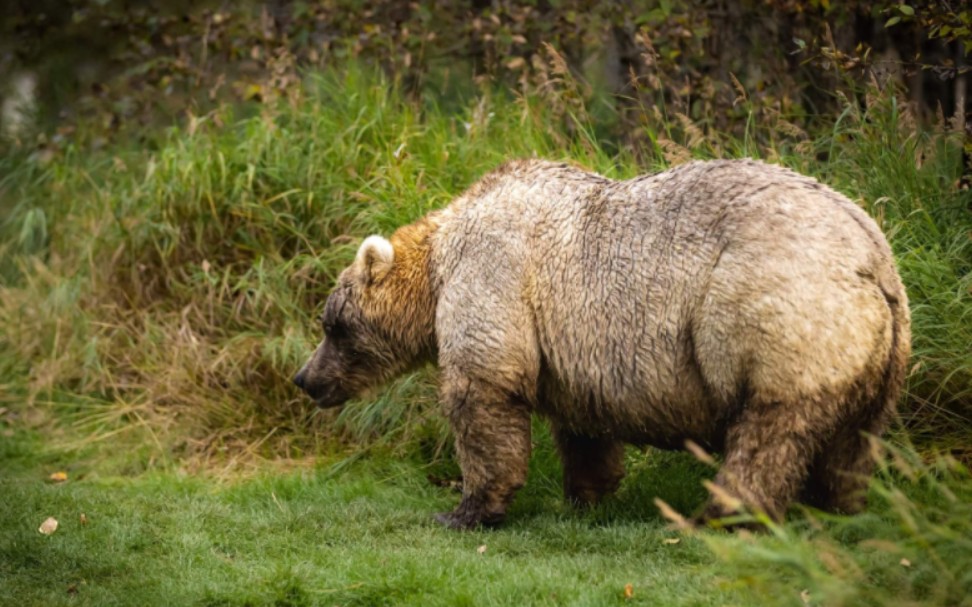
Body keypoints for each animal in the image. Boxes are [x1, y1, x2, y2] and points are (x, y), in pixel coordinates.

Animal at [290, 159, 912, 528]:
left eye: (330, 324)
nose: (305, 379)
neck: (440, 262)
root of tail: (872, 259)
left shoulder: (495, 275)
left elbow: (484, 391)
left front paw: (466, 509)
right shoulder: (567, 341)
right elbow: (582, 424)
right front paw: (586, 493)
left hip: (776, 314)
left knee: (768, 434)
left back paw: (718, 516)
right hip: (880, 353)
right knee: (853, 442)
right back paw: (840, 508)